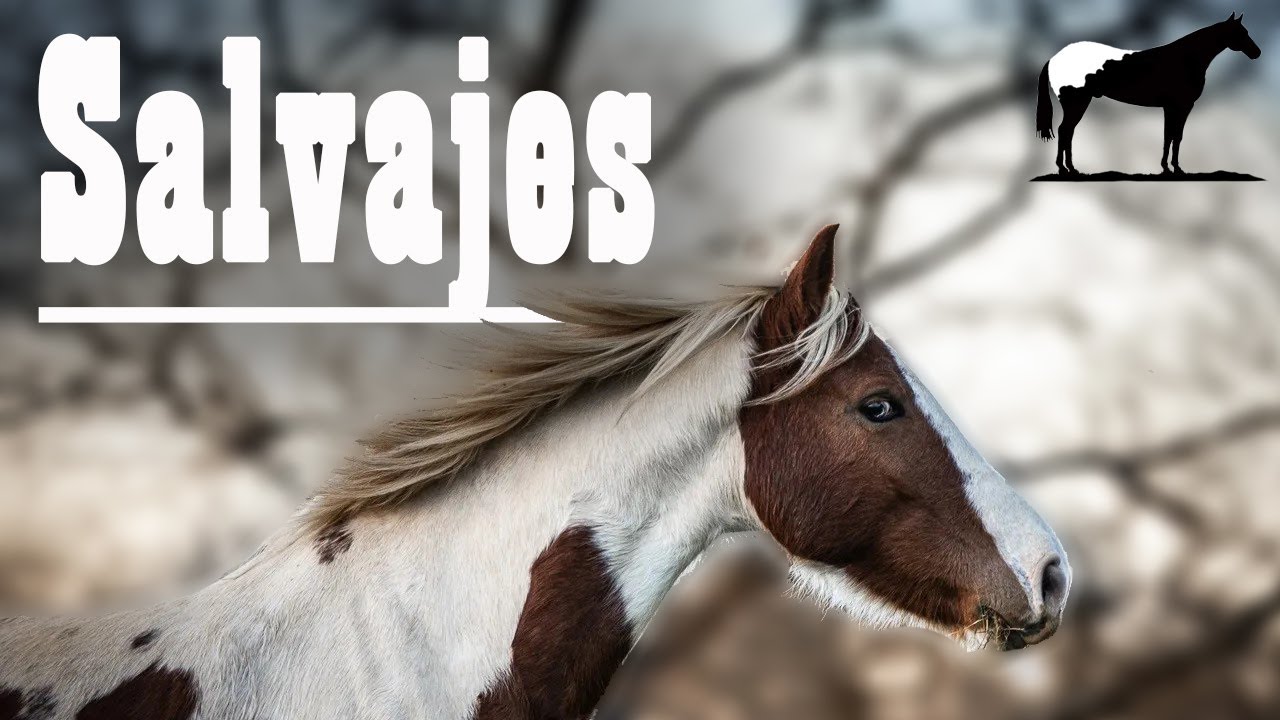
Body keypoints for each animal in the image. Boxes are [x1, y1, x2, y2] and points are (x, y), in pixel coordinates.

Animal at [1036, 12, 1261, 175]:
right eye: (1241, 32)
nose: (1257, 53)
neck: (1186, 58)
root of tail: (1055, 58)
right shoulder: (1181, 106)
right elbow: (1175, 136)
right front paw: (1175, 168)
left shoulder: (1172, 107)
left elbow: (1170, 136)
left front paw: (1168, 167)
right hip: (1077, 102)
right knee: (1065, 131)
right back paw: (1065, 168)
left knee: (1068, 132)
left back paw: (1070, 168)